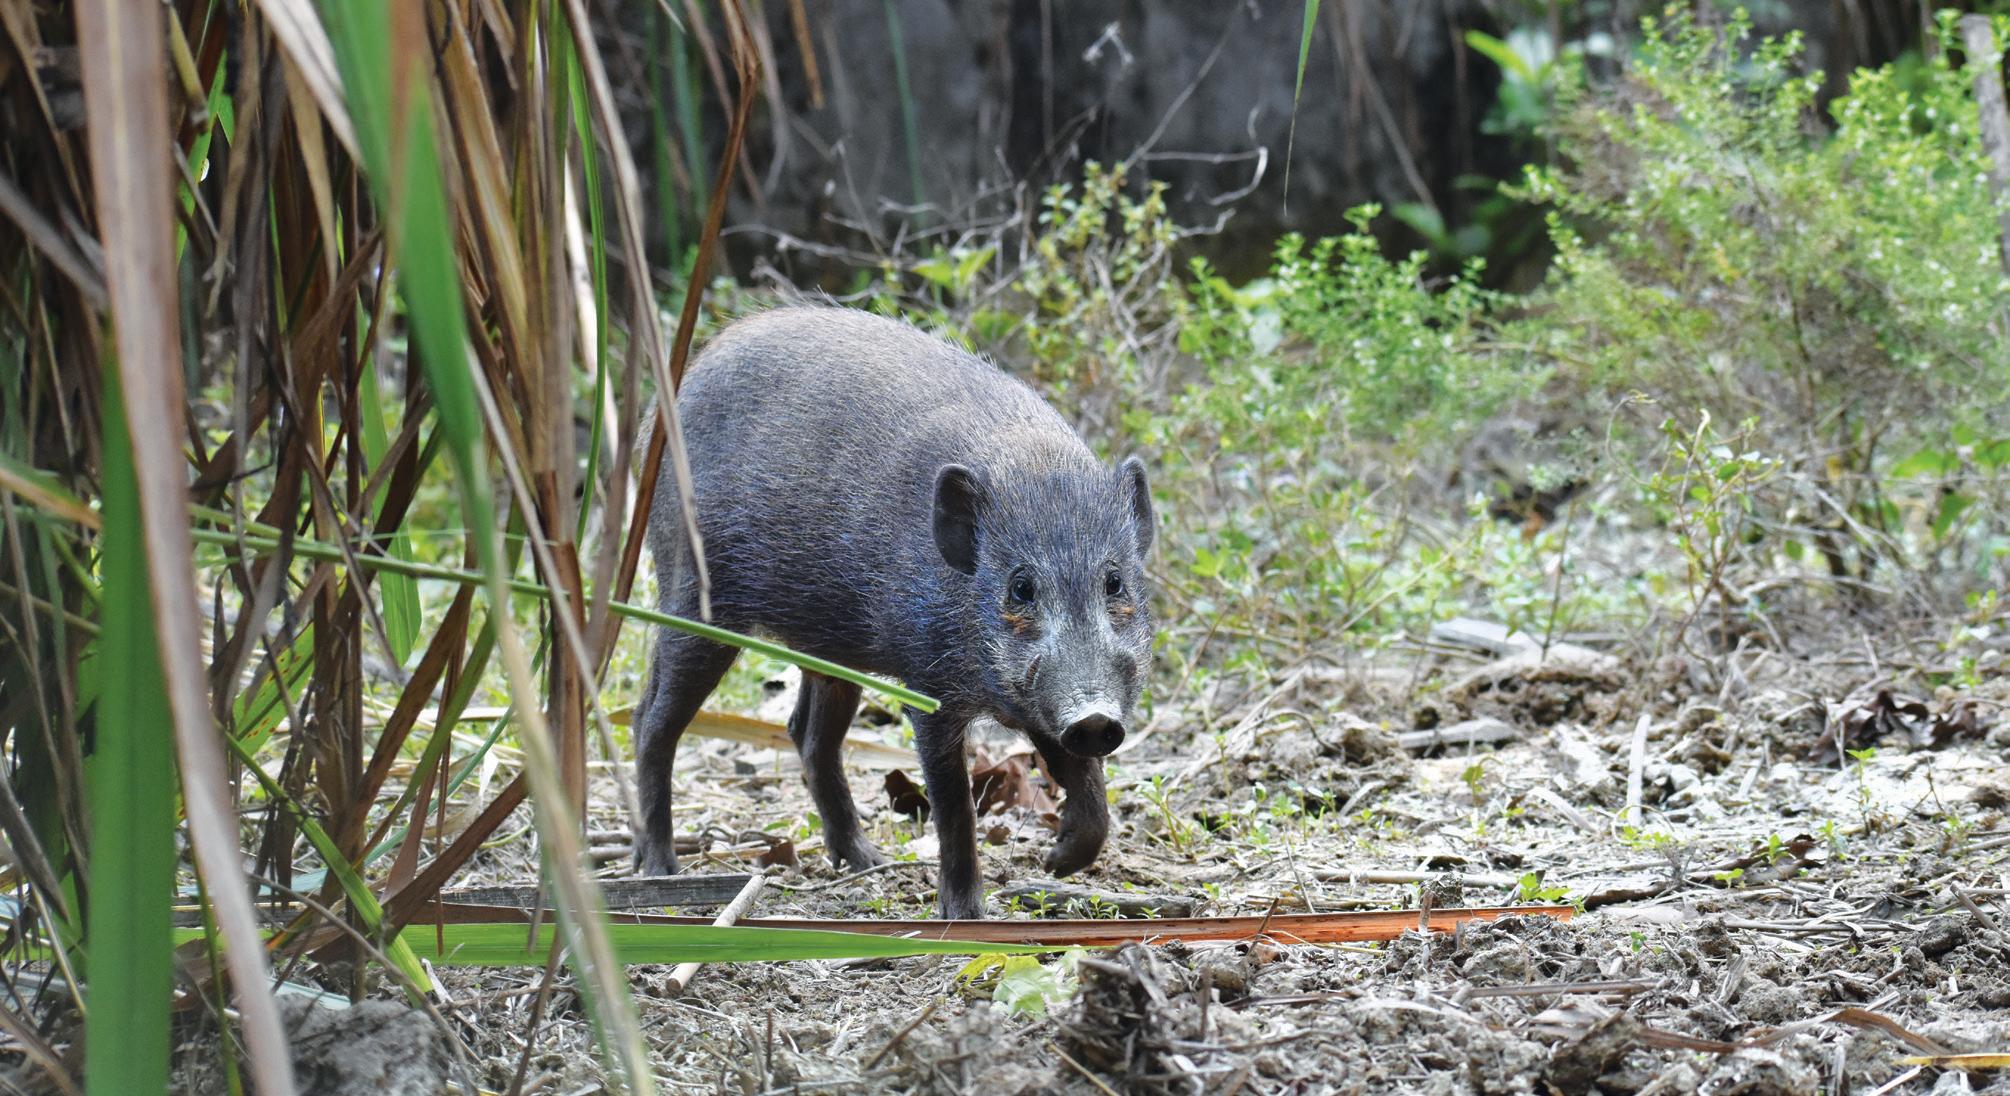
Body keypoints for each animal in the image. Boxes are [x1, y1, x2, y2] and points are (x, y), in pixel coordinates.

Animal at [632, 306, 1155, 919]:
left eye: (1114, 581)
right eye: (1021, 587)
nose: (1094, 717)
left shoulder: (1037, 700)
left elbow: (1086, 779)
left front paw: (1057, 865)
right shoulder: (928, 685)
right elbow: (954, 803)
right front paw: (967, 917)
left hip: (827, 646)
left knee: (807, 734)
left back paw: (866, 862)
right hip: (694, 595)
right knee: (651, 721)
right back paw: (660, 874)